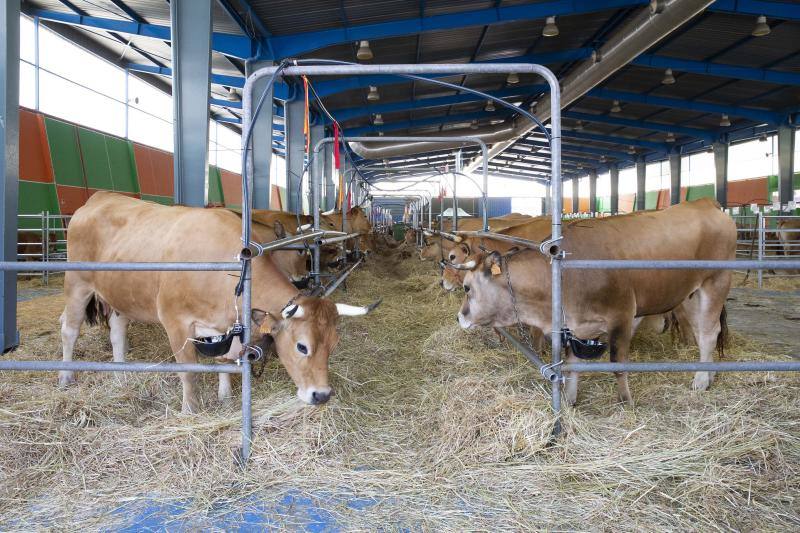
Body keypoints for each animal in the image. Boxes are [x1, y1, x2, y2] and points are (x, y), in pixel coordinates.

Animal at [59, 191, 378, 412]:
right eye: (302, 346)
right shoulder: (175, 322)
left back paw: (121, 373)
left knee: (117, 332)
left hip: (119, 293)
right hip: (77, 283)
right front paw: (189, 410)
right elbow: (189, 373)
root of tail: (101, 196)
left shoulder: (226, 324)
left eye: (333, 345)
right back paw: (65, 377)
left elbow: (225, 359)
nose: (322, 395)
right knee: (69, 329)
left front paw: (224, 396)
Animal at [456, 198, 736, 404]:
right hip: (689, 292)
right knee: (702, 331)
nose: (460, 317)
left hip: (716, 281)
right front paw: (569, 400)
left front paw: (626, 401)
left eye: (467, 287)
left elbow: (617, 364)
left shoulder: (622, 314)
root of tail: (705, 202)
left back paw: (701, 380)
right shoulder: (577, 326)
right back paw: (709, 373)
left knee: (709, 333)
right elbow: (572, 365)